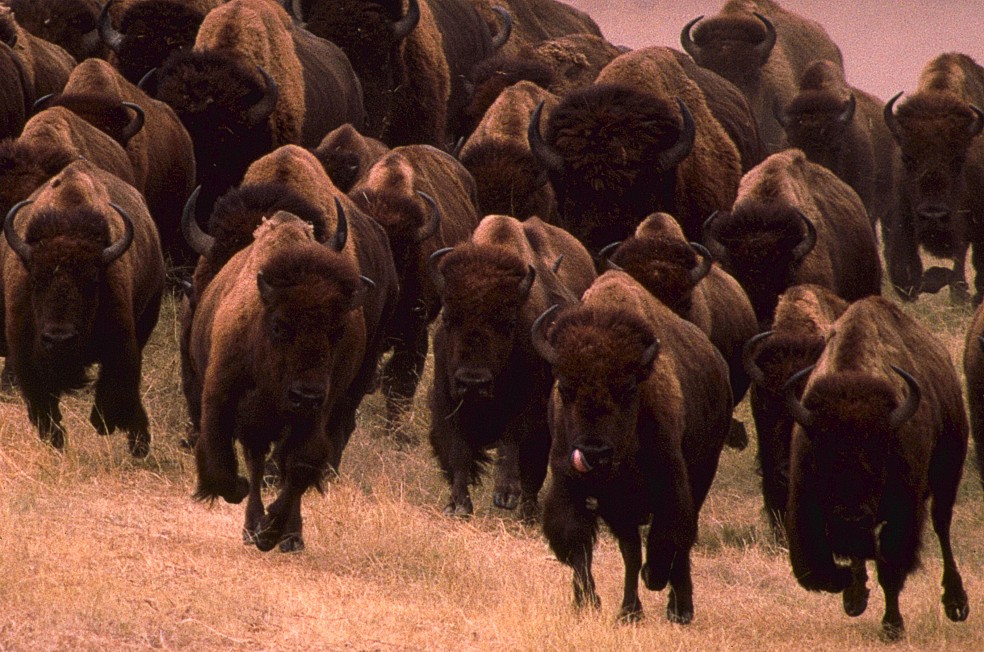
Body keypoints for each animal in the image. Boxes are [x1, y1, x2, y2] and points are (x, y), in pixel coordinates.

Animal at [428, 214, 595, 519]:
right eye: (447, 317)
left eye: (509, 323)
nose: (473, 382)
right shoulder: (447, 402)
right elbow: (458, 452)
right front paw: (457, 504)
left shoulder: (529, 408)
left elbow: (513, 442)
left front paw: (505, 495)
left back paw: (527, 511)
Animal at [534, 270, 732, 624]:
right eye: (565, 388)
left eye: (627, 390)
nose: (594, 453)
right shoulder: (570, 486)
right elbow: (579, 545)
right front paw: (587, 602)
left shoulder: (671, 486)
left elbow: (667, 542)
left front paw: (655, 580)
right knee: (631, 551)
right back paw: (630, 611)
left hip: (702, 474)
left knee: (680, 545)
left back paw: (679, 609)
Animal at [784, 296, 970, 640]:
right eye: (825, 458)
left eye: (878, 457)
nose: (850, 517)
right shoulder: (805, 503)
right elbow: (814, 571)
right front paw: (852, 590)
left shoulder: (902, 513)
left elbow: (891, 568)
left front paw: (892, 626)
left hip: (948, 474)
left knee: (942, 526)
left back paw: (956, 603)